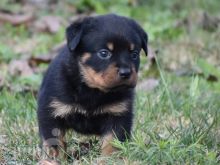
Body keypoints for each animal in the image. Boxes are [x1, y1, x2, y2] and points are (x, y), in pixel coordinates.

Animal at [37, 13, 148, 159]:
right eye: (104, 53)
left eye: (134, 54)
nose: (126, 72)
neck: (91, 90)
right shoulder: (51, 112)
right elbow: (54, 141)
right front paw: (54, 159)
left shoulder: (118, 115)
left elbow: (112, 142)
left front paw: (108, 159)